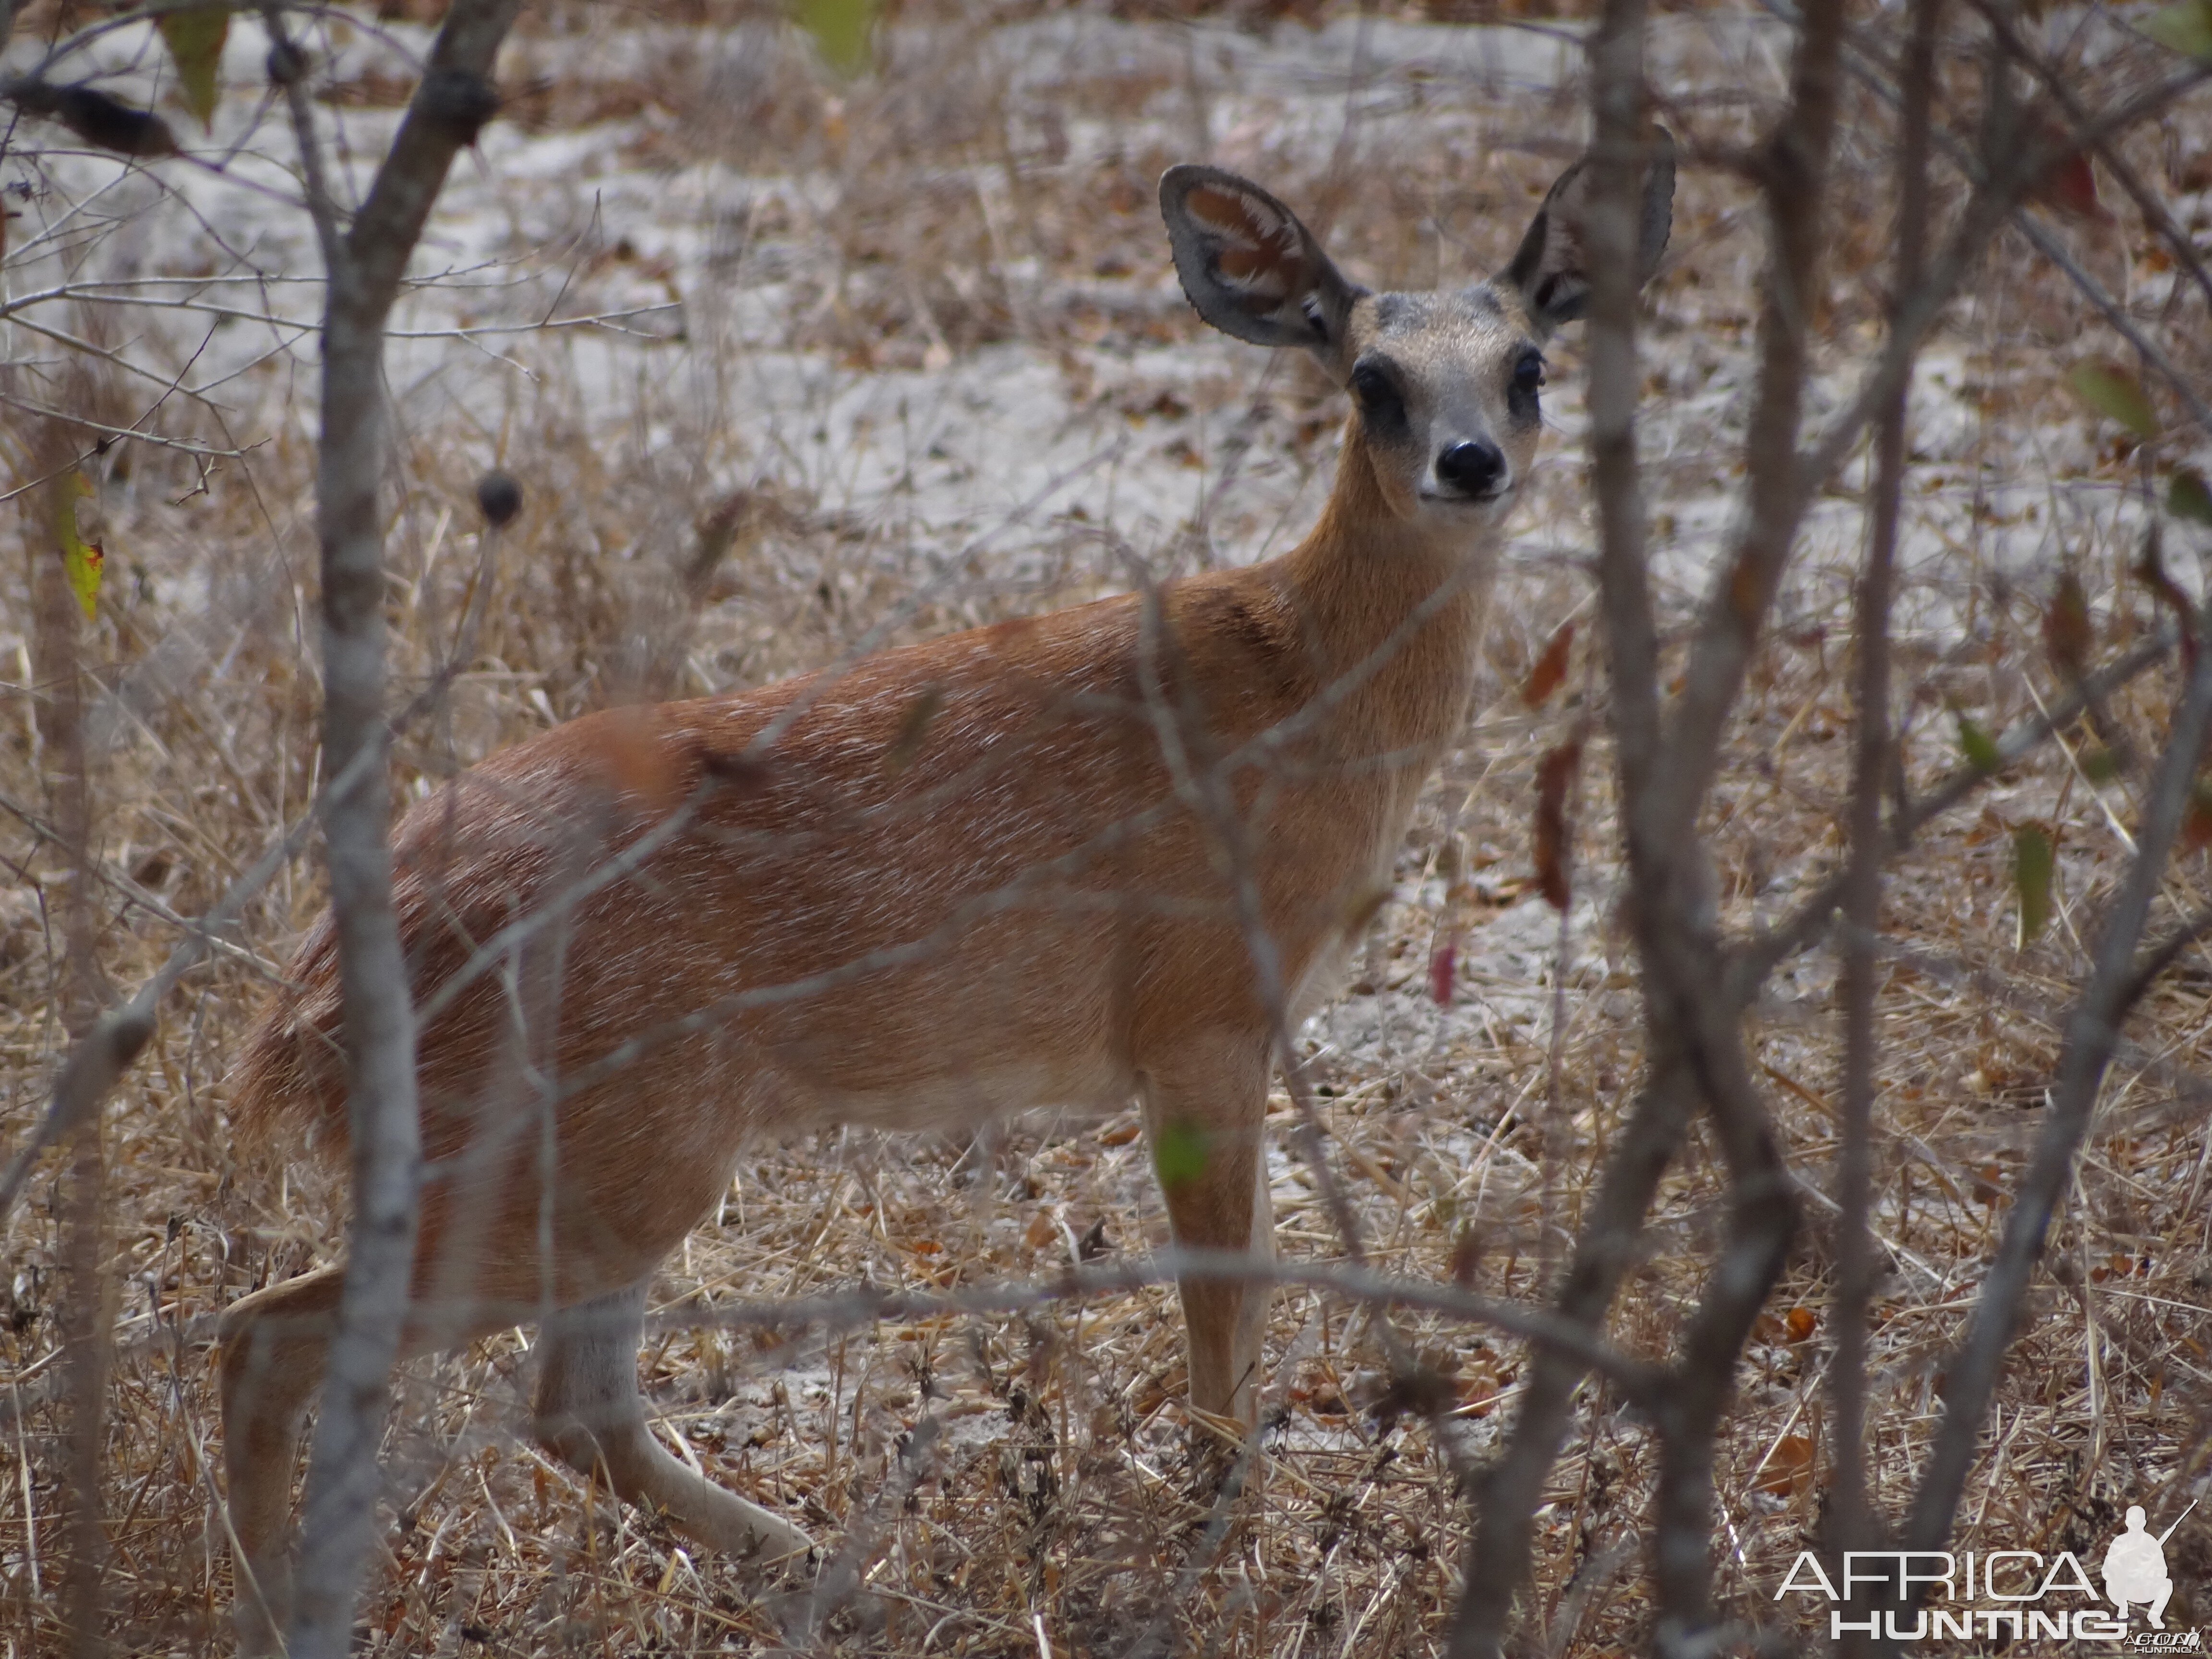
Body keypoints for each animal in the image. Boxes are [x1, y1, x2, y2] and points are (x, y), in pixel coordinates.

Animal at [224, 136, 1672, 1646]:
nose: (1471, 461)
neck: (1294, 690)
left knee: (566, 1403)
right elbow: (1229, 1301)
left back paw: (838, 1575)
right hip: (593, 1149)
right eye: (1371, 376)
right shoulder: (1200, 1011)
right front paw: (1220, 1549)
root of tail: (306, 1006)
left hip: (605, 1159)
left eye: (1528, 364)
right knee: (273, 1334)